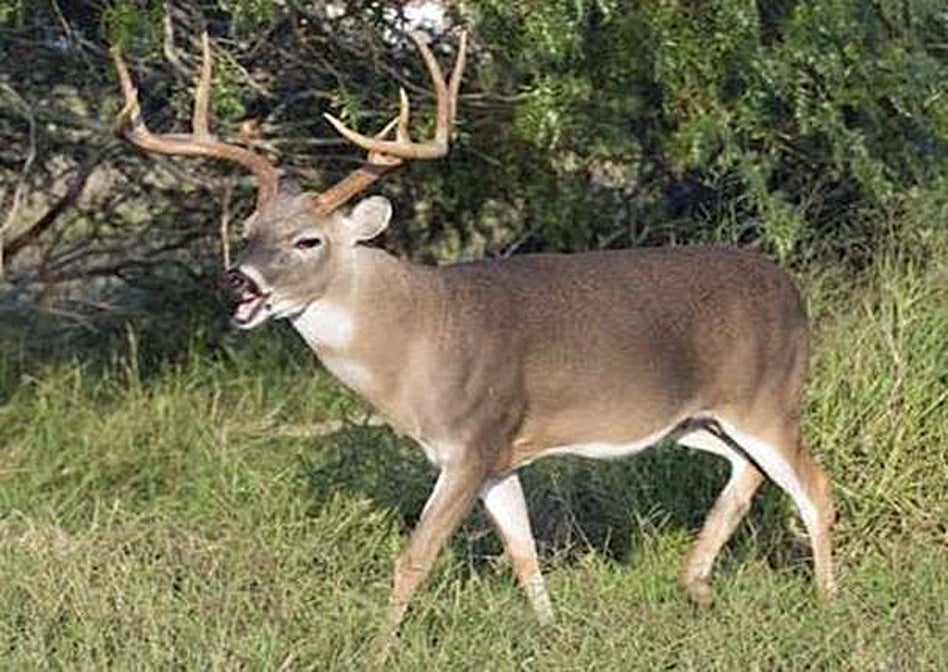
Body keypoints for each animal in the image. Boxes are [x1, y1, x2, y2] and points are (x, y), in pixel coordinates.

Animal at [110, 29, 836, 645]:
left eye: (308, 240)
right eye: (249, 229)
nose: (237, 281)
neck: (417, 338)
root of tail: (791, 290)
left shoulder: (474, 440)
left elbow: (415, 555)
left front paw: (379, 647)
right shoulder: (499, 457)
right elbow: (523, 552)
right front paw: (552, 633)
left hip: (767, 398)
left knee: (813, 484)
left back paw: (827, 603)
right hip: (699, 419)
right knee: (747, 472)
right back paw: (698, 585)